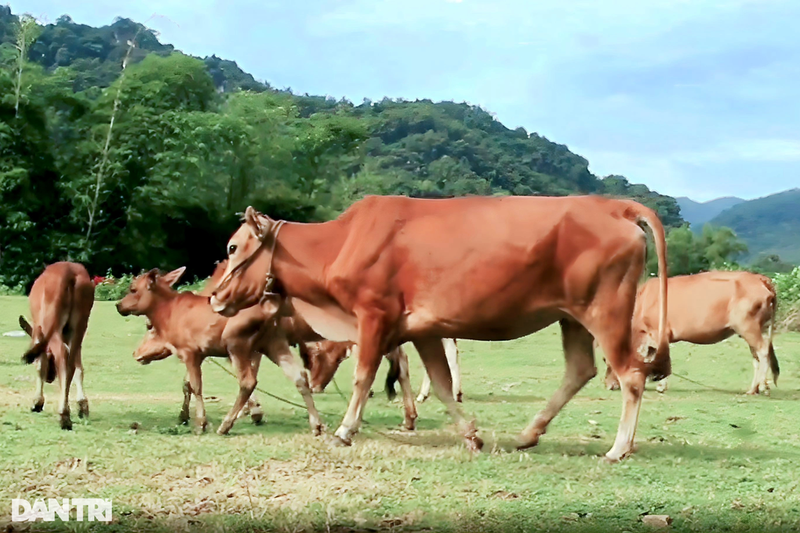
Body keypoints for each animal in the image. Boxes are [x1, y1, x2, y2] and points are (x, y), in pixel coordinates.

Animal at [19, 260, 94, 430]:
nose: (50, 378)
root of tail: (69, 272)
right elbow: (79, 366)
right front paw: (82, 405)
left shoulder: (39, 329)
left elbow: (40, 363)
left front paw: (37, 402)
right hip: (81, 323)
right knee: (71, 361)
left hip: (52, 322)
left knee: (62, 354)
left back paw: (63, 415)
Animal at [208, 195, 668, 462]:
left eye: (232, 246)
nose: (213, 297)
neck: (340, 242)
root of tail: (614, 205)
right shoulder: (424, 329)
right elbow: (443, 385)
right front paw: (471, 435)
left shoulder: (373, 315)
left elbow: (363, 377)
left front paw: (343, 431)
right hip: (571, 316)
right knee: (579, 370)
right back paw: (528, 434)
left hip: (605, 311)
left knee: (631, 374)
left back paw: (618, 447)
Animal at [604, 270, 780, 394]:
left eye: (606, 360)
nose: (608, 385)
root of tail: (760, 278)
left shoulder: (659, 333)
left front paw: (660, 386)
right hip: (756, 329)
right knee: (757, 356)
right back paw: (753, 389)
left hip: (748, 327)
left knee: (763, 351)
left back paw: (762, 386)